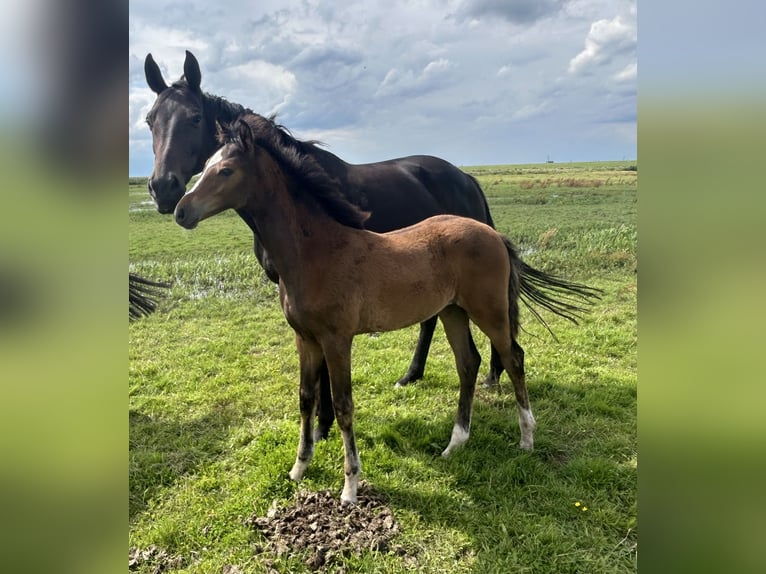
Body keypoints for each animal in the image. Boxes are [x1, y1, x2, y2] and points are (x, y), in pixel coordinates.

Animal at [143, 50, 504, 400]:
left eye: (194, 117)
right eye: (149, 120)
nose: (163, 188)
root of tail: (466, 178)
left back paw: (490, 374)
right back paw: (412, 375)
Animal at [174, 116, 608, 504]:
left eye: (225, 170)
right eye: (206, 164)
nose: (181, 211)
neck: (314, 251)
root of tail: (493, 234)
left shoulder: (337, 340)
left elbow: (343, 405)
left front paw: (350, 486)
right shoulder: (305, 338)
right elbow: (305, 397)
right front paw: (299, 468)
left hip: (490, 312)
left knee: (513, 357)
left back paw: (526, 438)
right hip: (453, 312)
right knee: (468, 362)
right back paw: (455, 444)